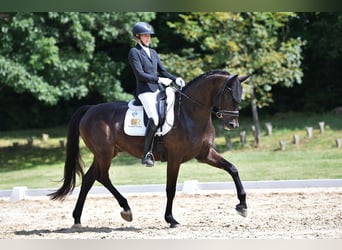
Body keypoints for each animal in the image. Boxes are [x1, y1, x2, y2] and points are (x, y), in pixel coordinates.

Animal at [50, 69, 248, 228]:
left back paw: (77, 219)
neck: (190, 113)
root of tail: (90, 109)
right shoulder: (175, 158)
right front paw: (171, 219)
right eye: (229, 95)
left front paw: (242, 206)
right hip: (104, 153)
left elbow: (233, 169)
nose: (232, 125)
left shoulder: (205, 154)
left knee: (89, 178)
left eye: (239, 97)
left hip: (106, 153)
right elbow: (171, 188)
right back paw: (126, 210)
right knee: (102, 176)